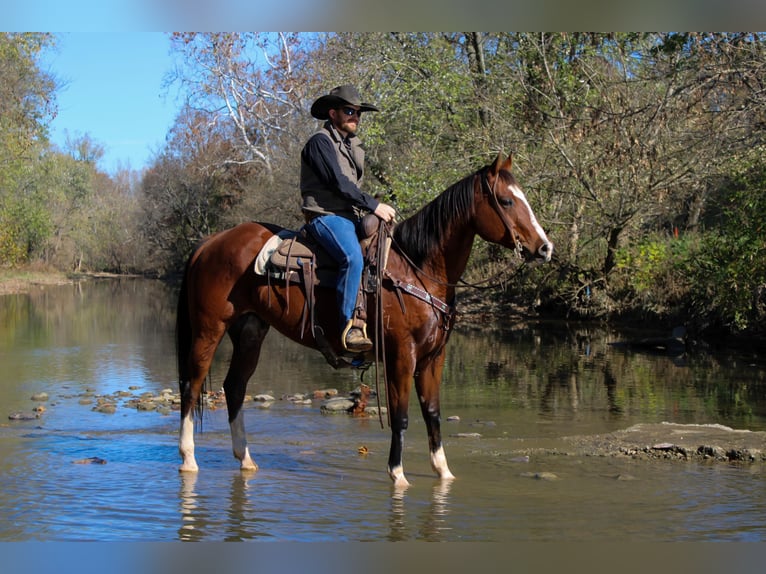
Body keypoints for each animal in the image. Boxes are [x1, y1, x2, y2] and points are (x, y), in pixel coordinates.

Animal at [177, 152, 556, 486]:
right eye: (506, 201)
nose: (545, 248)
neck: (418, 269)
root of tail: (209, 243)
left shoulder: (434, 357)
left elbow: (432, 412)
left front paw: (443, 473)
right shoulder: (402, 355)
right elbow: (401, 416)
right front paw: (398, 474)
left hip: (251, 331)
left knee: (234, 388)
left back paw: (246, 459)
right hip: (209, 329)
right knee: (192, 387)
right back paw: (189, 459)